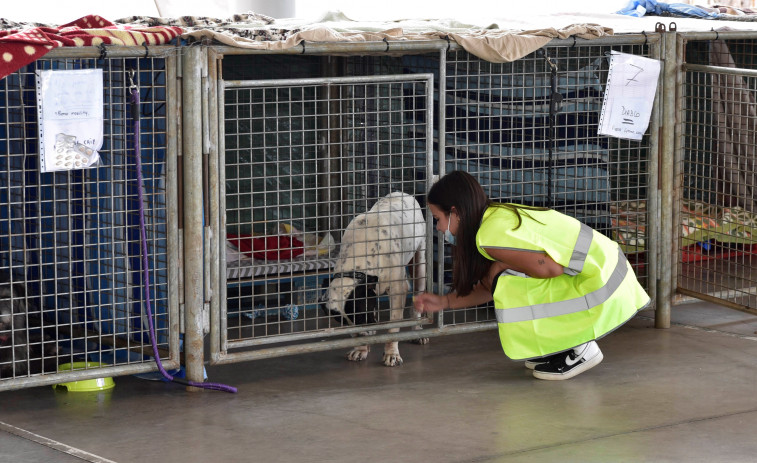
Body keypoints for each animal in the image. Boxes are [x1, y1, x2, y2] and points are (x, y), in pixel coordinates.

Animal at [318, 191, 426, 366]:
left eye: (361, 316)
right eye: (344, 323)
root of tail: (402, 193)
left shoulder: (397, 290)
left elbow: (393, 325)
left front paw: (391, 353)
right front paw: (360, 349)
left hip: (420, 265)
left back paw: (417, 330)